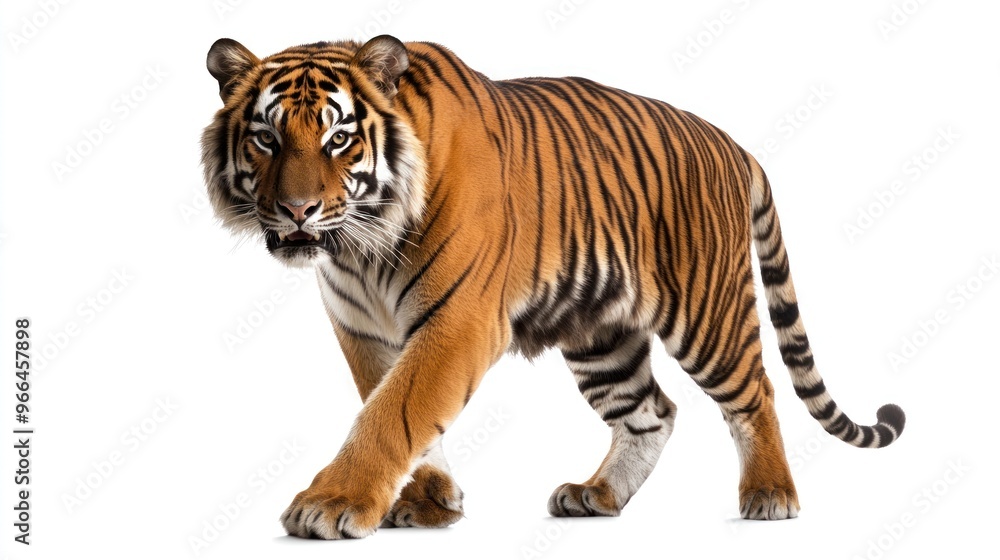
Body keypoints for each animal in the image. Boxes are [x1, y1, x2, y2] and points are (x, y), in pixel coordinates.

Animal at [201, 34, 905, 539]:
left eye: (339, 138)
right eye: (266, 138)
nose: (296, 211)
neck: (361, 245)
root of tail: (735, 146)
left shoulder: (458, 321)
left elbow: (393, 412)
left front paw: (330, 504)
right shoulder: (362, 329)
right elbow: (389, 404)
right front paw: (432, 500)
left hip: (707, 314)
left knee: (754, 393)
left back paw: (769, 494)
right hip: (601, 334)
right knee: (653, 411)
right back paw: (598, 495)